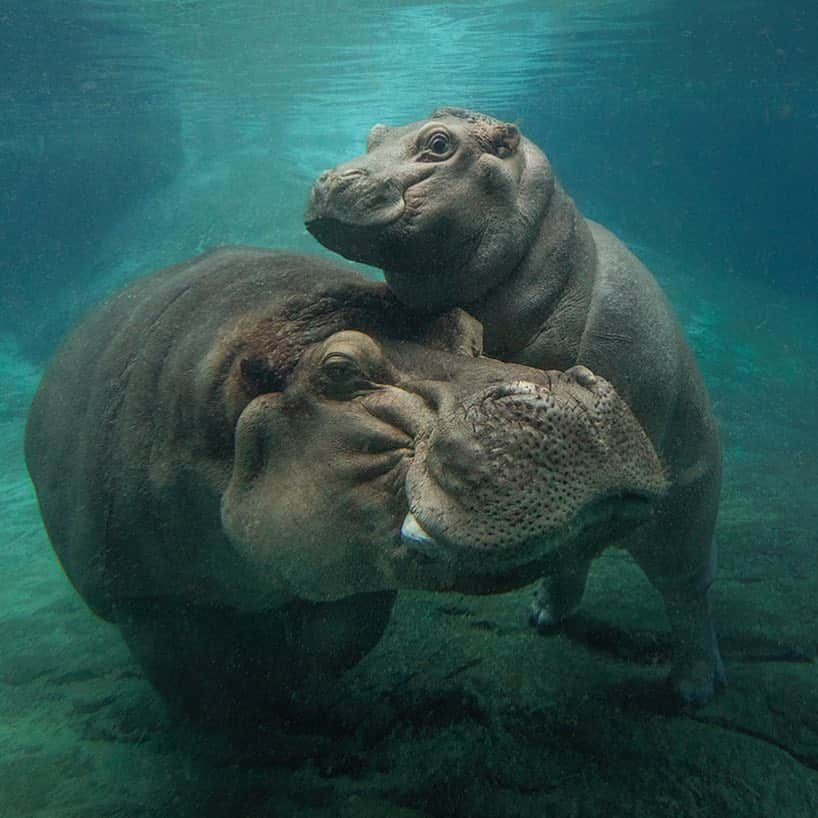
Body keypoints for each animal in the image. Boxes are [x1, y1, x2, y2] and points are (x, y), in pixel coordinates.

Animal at [25, 245, 664, 724]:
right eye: (339, 370)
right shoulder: (142, 600)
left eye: (470, 327)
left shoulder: (347, 556)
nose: (566, 396)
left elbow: (346, 635)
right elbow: (209, 692)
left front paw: (300, 677)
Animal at [306, 108, 728, 704]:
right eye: (375, 135)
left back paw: (694, 686)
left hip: (686, 504)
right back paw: (544, 616)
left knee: (687, 585)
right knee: (577, 546)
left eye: (440, 144)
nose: (329, 180)